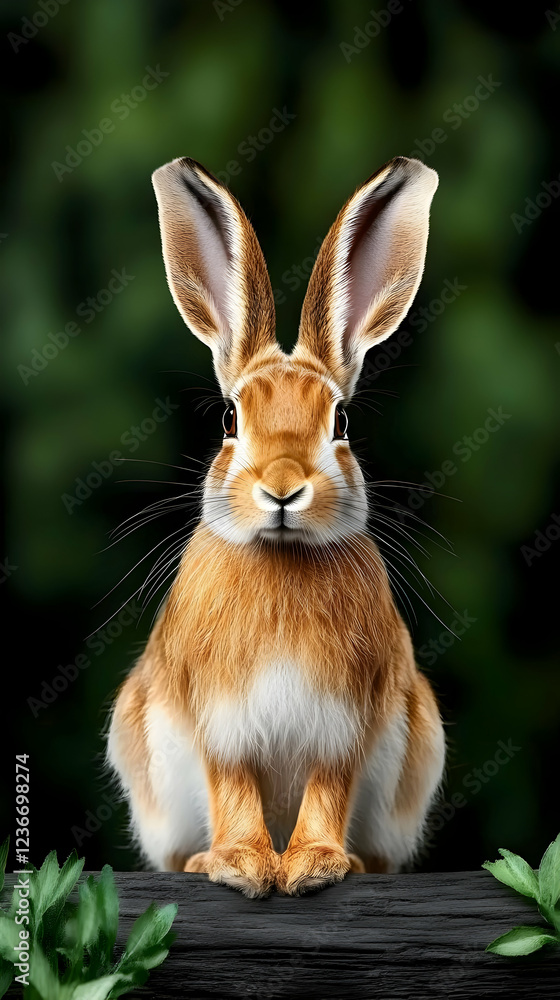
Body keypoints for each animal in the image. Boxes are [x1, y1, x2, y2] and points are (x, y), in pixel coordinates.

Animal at [106, 154, 446, 898]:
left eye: (341, 421)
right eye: (229, 419)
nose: (283, 489)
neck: (281, 555)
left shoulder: (343, 727)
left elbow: (328, 791)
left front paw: (315, 864)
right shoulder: (221, 726)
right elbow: (234, 789)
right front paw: (240, 864)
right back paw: (202, 860)